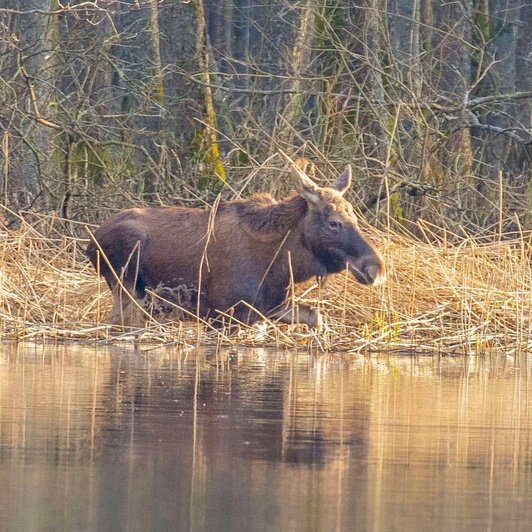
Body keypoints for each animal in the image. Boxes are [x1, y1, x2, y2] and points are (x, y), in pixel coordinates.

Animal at [88, 162, 386, 328]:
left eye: (354, 216)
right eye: (334, 222)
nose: (375, 268)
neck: (284, 265)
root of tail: (91, 242)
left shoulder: (267, 309)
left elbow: (317, 317)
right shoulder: (223, 314)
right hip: (127, 286)